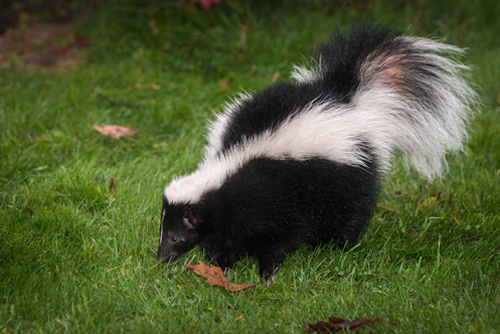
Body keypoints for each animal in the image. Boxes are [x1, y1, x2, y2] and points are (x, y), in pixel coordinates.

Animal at [156, 23, 476, 276]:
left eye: (175, 237)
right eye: (164, 232)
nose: (160, 258)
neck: (229, 169)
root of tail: (343, 98)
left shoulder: (277, 197)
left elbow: (281, 237)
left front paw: (267, 271)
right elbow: (227, 236)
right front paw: (220, 262)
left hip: (346, 176)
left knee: (351, 213)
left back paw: (338, 247)